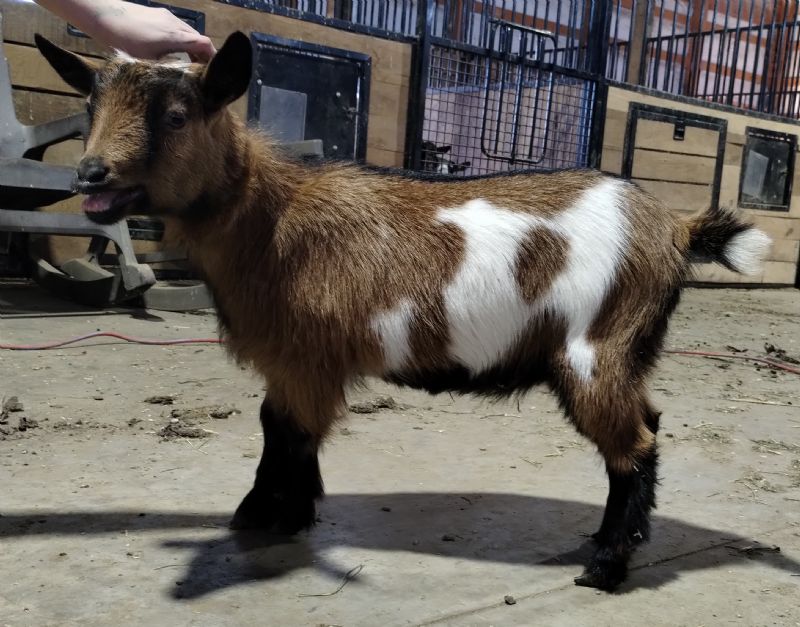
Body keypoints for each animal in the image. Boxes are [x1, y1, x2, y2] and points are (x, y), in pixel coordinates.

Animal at [36, 32, 772, 591]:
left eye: (178, 115)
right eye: (90, 102)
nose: (91, 175)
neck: (271, 219)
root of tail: (673, 228)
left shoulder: (306, 357)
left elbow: (287, 431)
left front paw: (266, 514)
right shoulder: (294, 361)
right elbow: (282, 428)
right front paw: (285, 511)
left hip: (596, 346)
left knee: (635, 445)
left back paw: (607, 567)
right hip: (624, 349)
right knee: (648, 425)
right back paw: (610, 537)